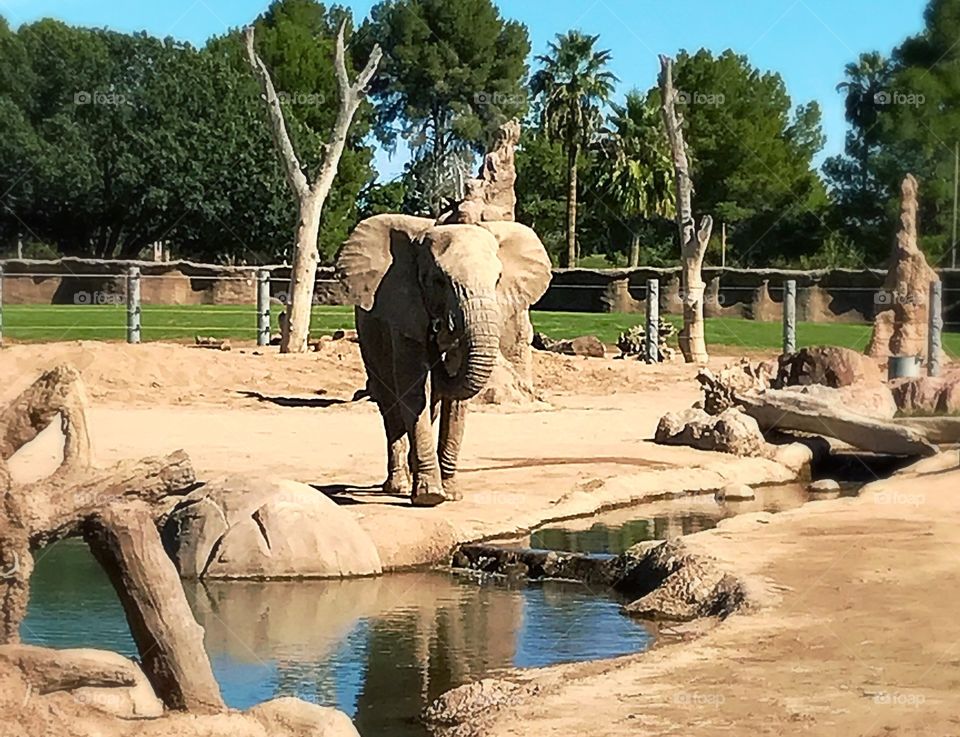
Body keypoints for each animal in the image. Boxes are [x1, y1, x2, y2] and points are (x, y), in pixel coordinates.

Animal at [336, 214, 551, 506]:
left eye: (498, 279)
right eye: (438, 280)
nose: (441, 330)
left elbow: (455, 403)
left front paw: (451, 493)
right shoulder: (404, 313)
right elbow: (413, 389)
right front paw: (430, 496)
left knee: (431, 404)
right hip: (369, 337)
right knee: (389, 401)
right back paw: (398, 486)